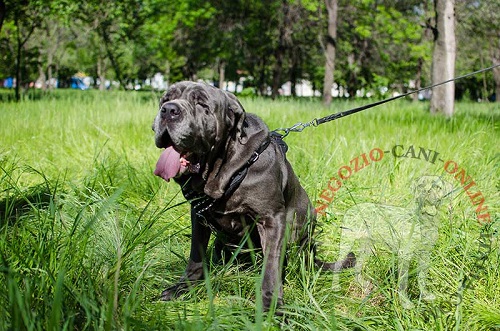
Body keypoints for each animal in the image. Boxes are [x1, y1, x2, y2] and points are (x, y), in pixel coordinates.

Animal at [154, 81, 354, 312]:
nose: (168, 110)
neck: (224, 170)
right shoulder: (199, 216)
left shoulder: (271, 220)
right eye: (165, 98)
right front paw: (184, 287)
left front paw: (271, 306)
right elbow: (196, 254)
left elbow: (271, 267)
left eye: (202, 104)